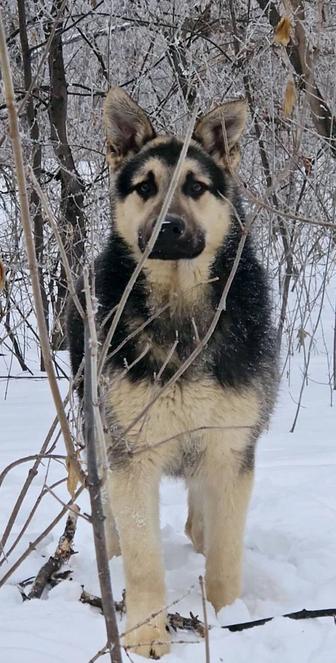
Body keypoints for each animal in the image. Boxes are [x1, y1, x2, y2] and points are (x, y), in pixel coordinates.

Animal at [66, 88, 278, 660]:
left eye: (196, 187)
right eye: (145, 187)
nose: (169, 228)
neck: (181, 312)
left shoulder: (230, 449)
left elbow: (225, 552)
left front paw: (228, 618)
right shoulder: (132, 453)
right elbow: (144, 562)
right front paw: (145, 633)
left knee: (200, 519)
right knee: (113, 517)